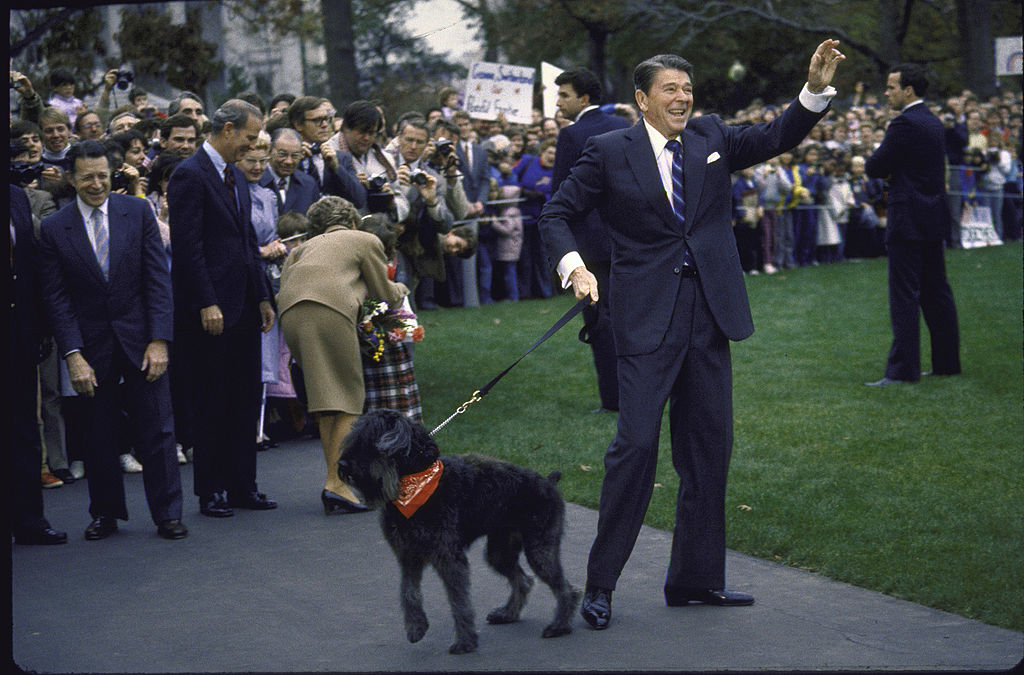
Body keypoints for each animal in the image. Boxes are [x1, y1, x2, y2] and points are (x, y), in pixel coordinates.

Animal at [339, 409, 581, 651]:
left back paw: (559, 626)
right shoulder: (408, 556)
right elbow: (409, 594)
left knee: (567, 590)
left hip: (540, 551)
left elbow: (459, 602)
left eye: (370, 441)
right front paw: (416, 626)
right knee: (524, 581)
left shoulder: (449, 559)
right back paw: (508, 614)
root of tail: (549, 482)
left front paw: (465, 641)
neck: (413, 483)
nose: (342, 465)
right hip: (499, 553)